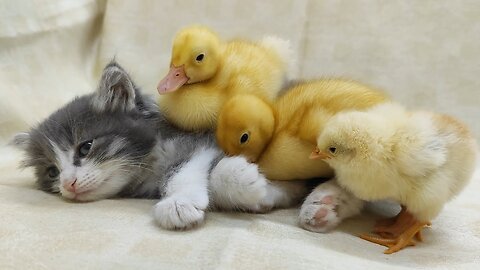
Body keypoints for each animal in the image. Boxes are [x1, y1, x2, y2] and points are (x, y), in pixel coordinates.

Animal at [12, 61, 308, 230]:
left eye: (85, 147)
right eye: (52, 172)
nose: (68, 184)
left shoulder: (201, 139)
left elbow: (185, 168)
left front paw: (179, 203)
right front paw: (265, 193)